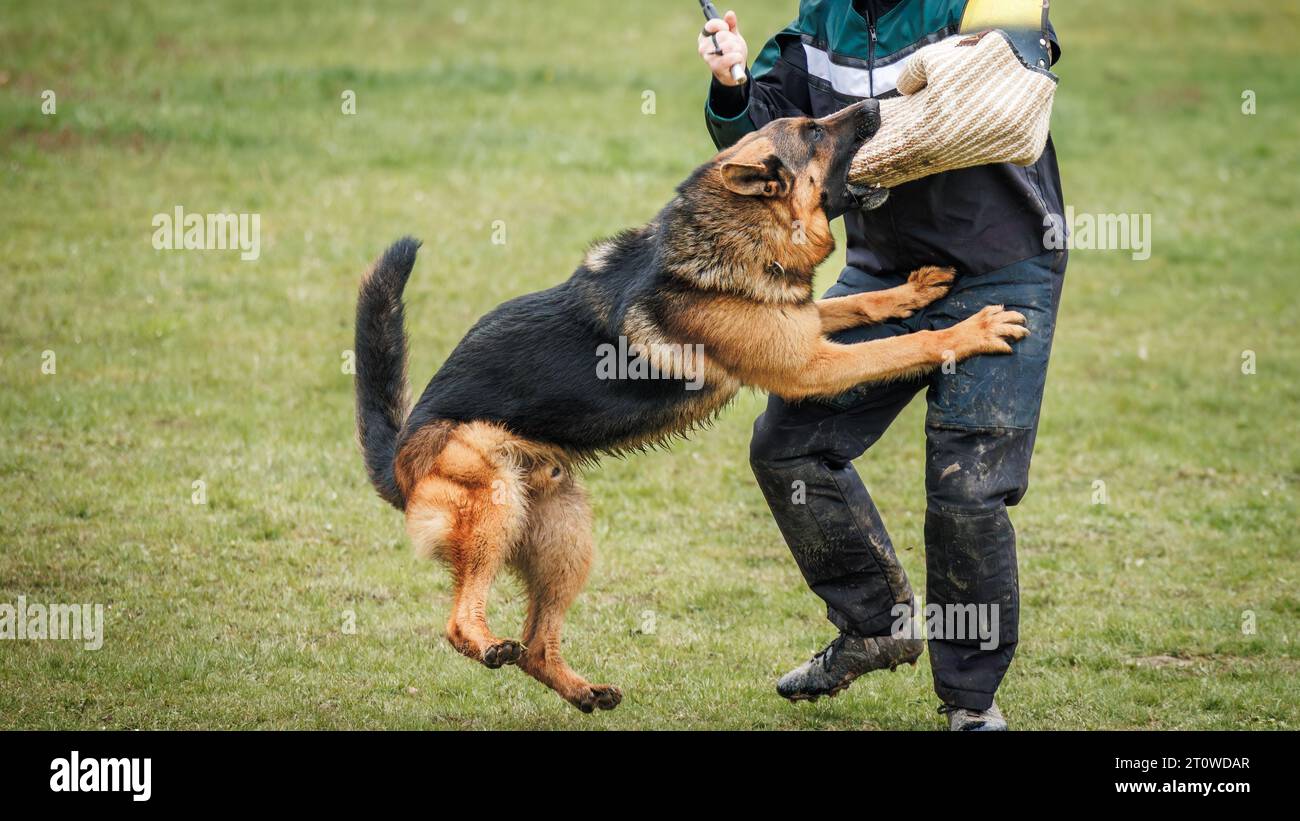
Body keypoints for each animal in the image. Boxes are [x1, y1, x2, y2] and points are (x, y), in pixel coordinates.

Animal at [353, 98, 1024, 711]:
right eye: (814, 130)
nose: (876, 102)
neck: (739, 232)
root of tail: (399, 458)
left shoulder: (799, 331)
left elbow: (858, 305)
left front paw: (913, 289)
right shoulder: (809, 366)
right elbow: (906, 344)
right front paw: (971, 330)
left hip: (564, 537)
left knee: (538, 645)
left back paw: (583, 691)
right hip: (492, 509)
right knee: (461, 622)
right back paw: (487, 644)